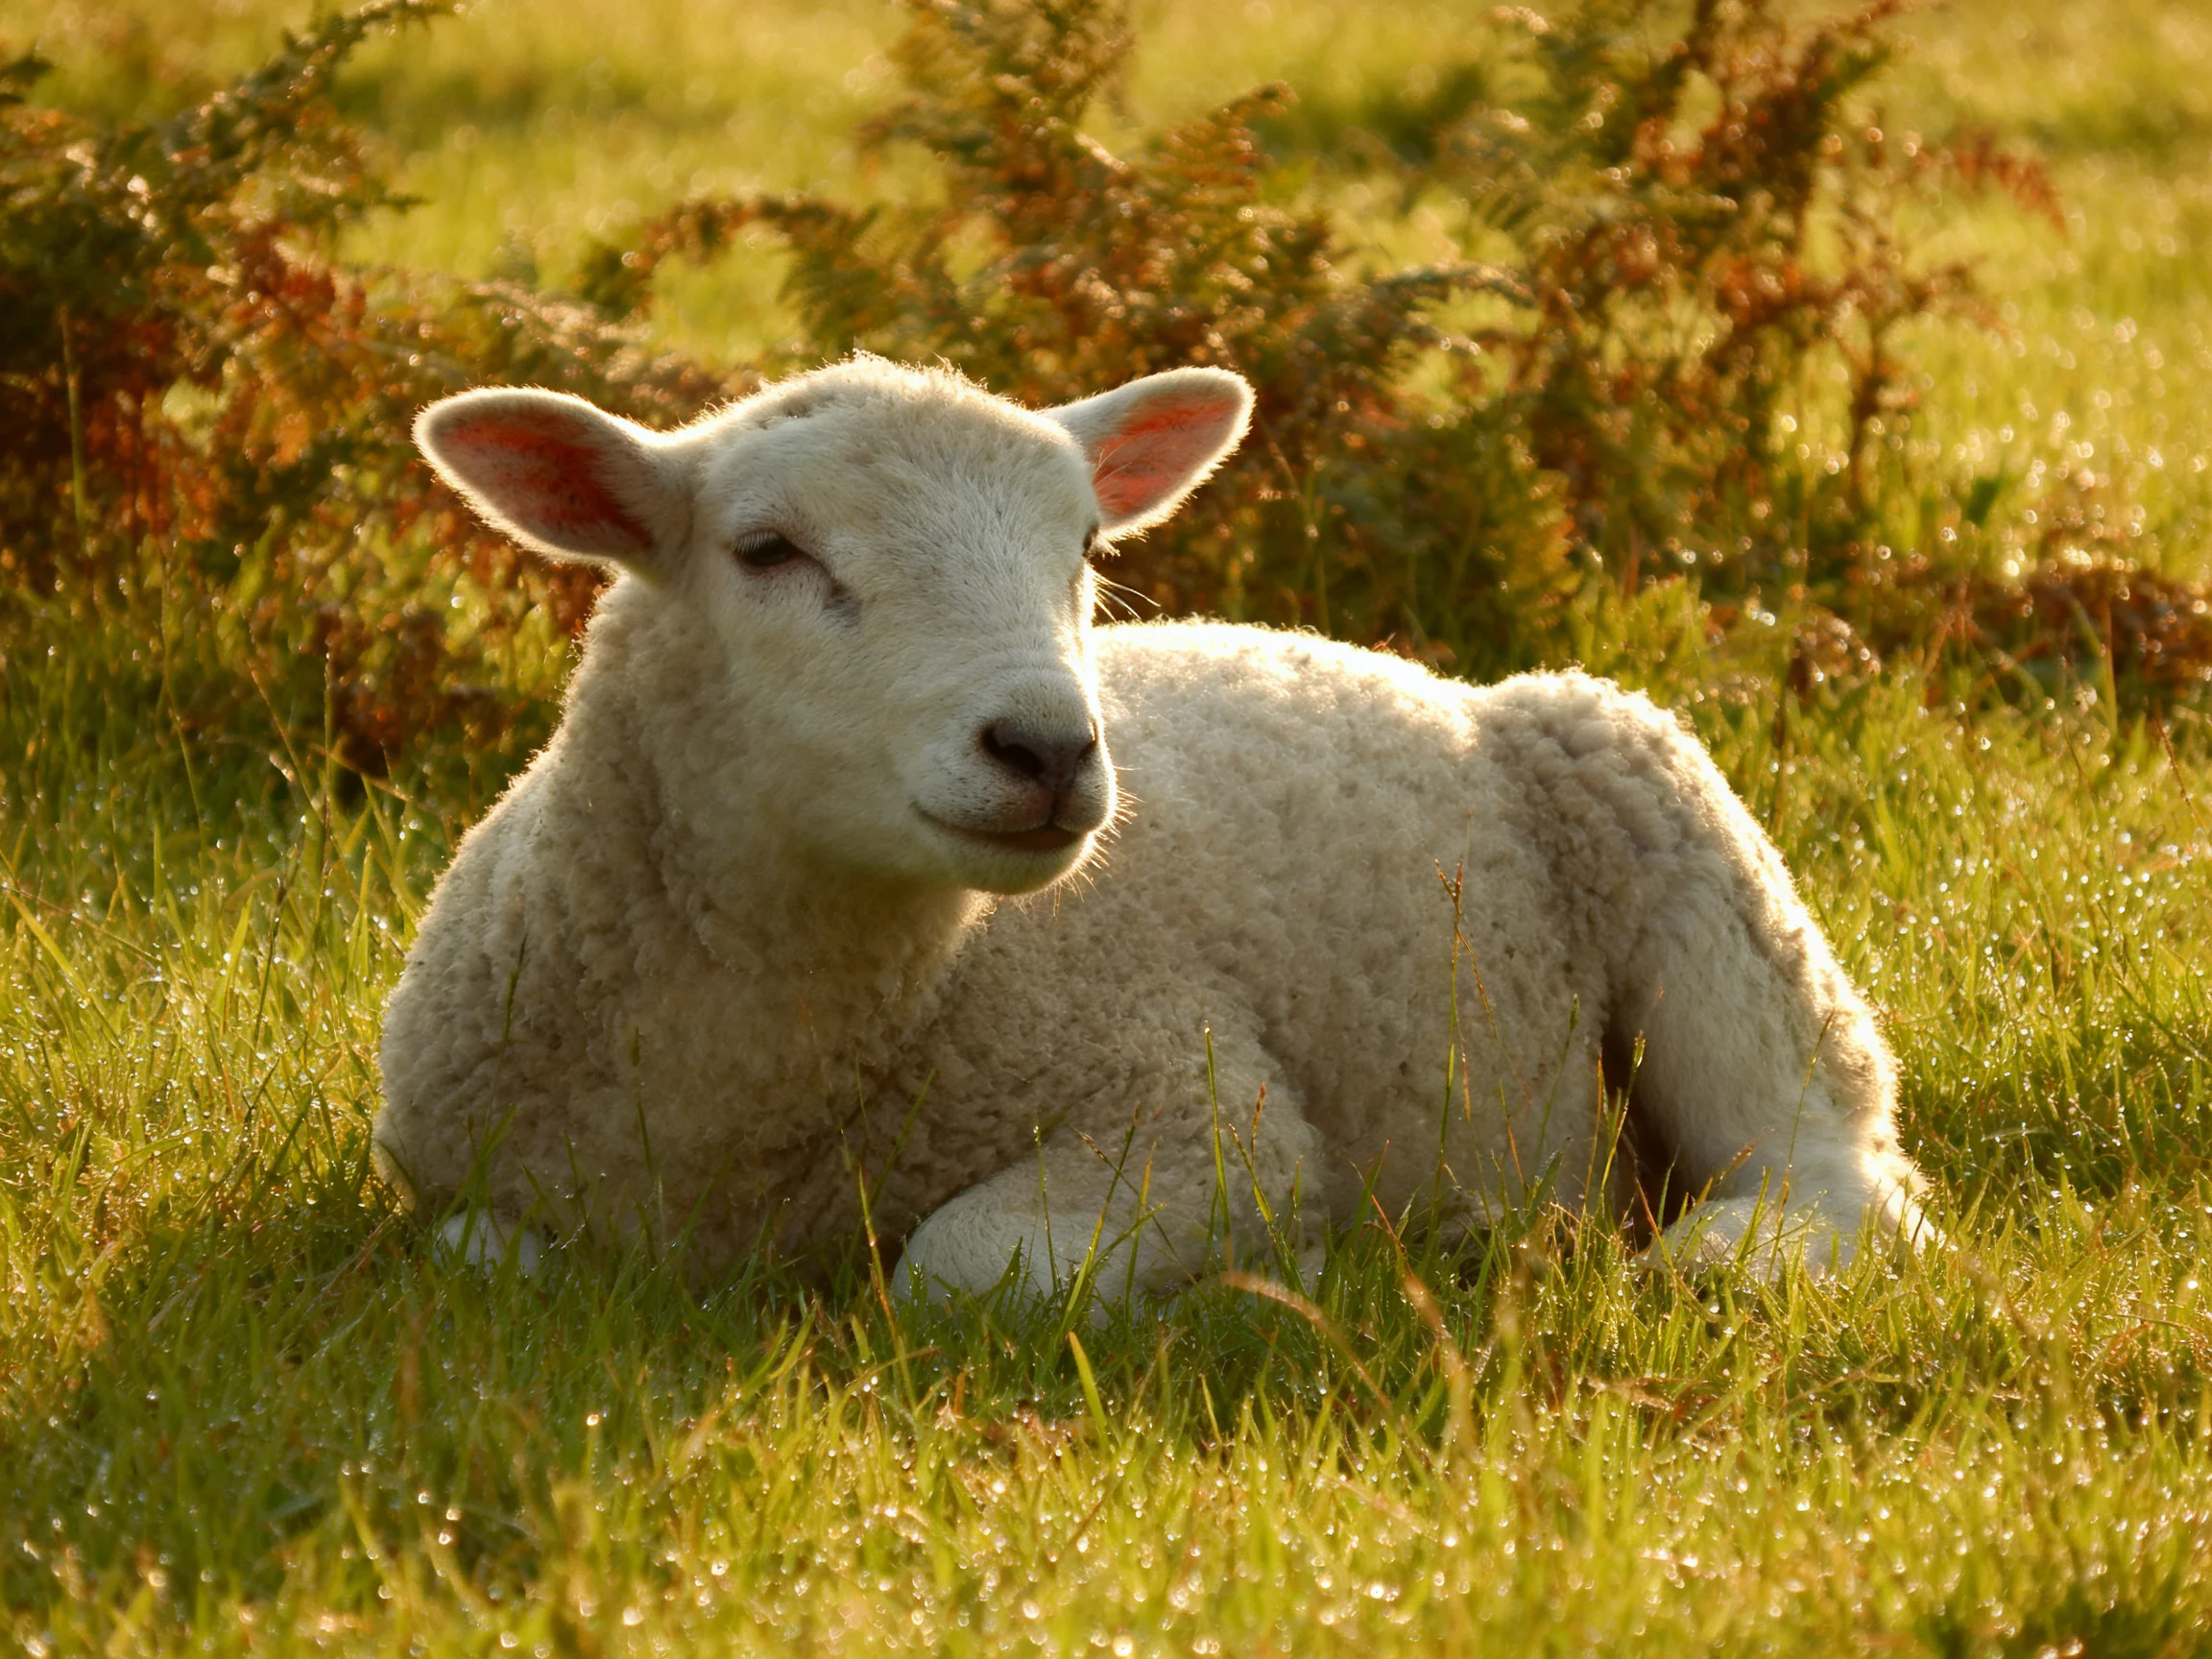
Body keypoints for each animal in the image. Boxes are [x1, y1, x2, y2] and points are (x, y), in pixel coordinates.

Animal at [374, 354, 1934, 1299]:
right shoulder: (476, 1190)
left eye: (1082, 550)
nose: (1050, 749)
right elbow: (476, 1254)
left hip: (1671, 827)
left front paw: (1301, 1273)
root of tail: (1433, 675)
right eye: (767, 551)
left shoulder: (1199, 1106)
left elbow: (960, 1270)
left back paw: (1725, 1259)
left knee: (1835, 1158)